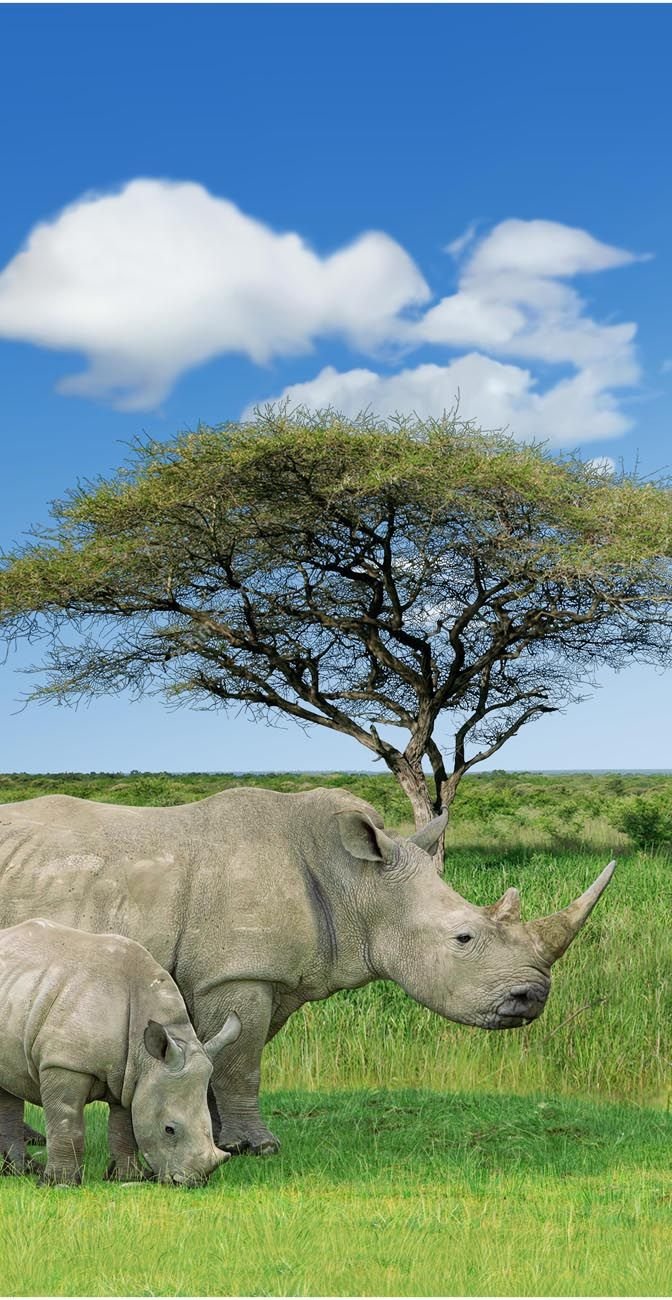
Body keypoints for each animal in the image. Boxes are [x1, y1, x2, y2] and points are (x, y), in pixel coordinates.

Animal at [0, 787, 614, 1156]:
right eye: (464, 938)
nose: (531, 998)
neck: (355, 882)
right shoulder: (238, 973)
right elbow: (242, 1063)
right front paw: (259, 1147)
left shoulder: (270, 978)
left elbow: (226, 1059)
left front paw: (221, 1138)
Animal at [0, 917, 241, 1185]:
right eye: (169, 1130)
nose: (193, 1182)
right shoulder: (64, 1062)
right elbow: (67, 1122)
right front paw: (60, 1184)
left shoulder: (132, 1073)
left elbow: (124, 1126)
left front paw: (128, 1177)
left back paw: (20, 1171)